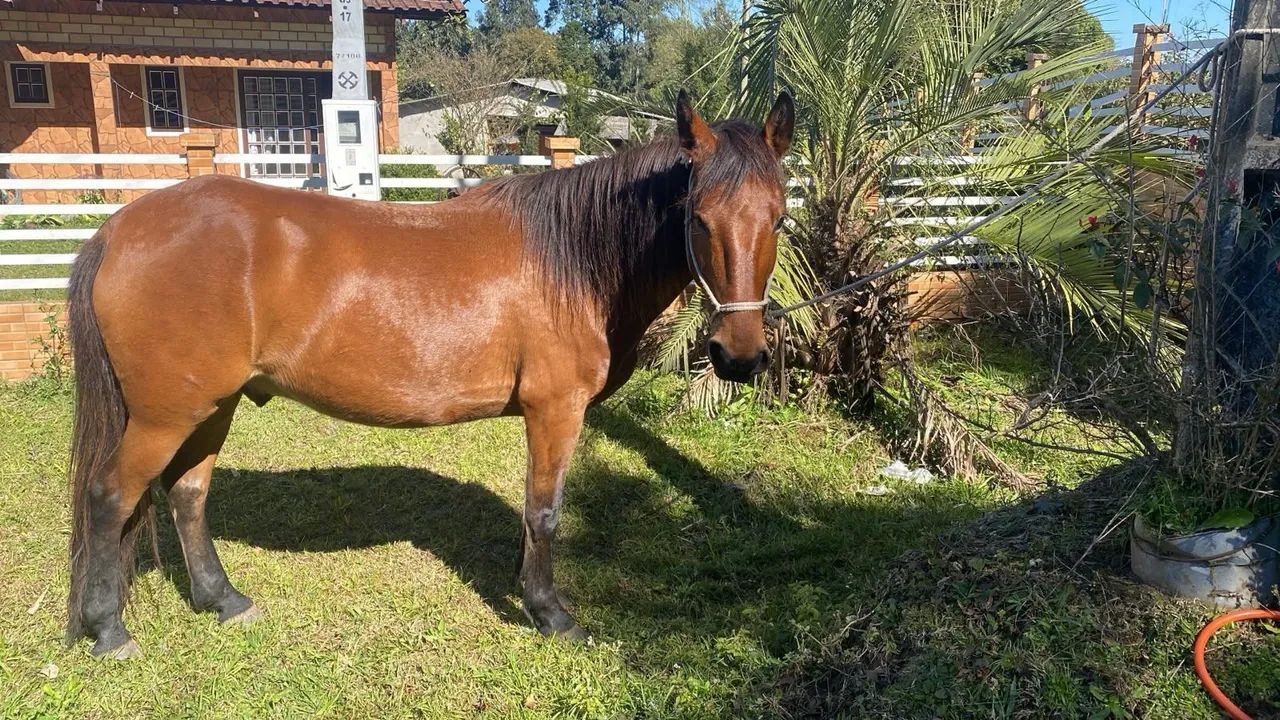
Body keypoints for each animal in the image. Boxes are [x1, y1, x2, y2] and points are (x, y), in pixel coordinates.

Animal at [64, 90, 795, 659]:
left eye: (781, 217)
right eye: (698, 217)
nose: (739, 354)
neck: (572, 259)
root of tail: (119, 230)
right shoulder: (555, 410)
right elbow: (545, 511)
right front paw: (549, 612)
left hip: (211, 405)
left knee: (188, 494)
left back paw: (223, 599)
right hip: (164, 415)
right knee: (110, 497)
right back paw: (108, 631)